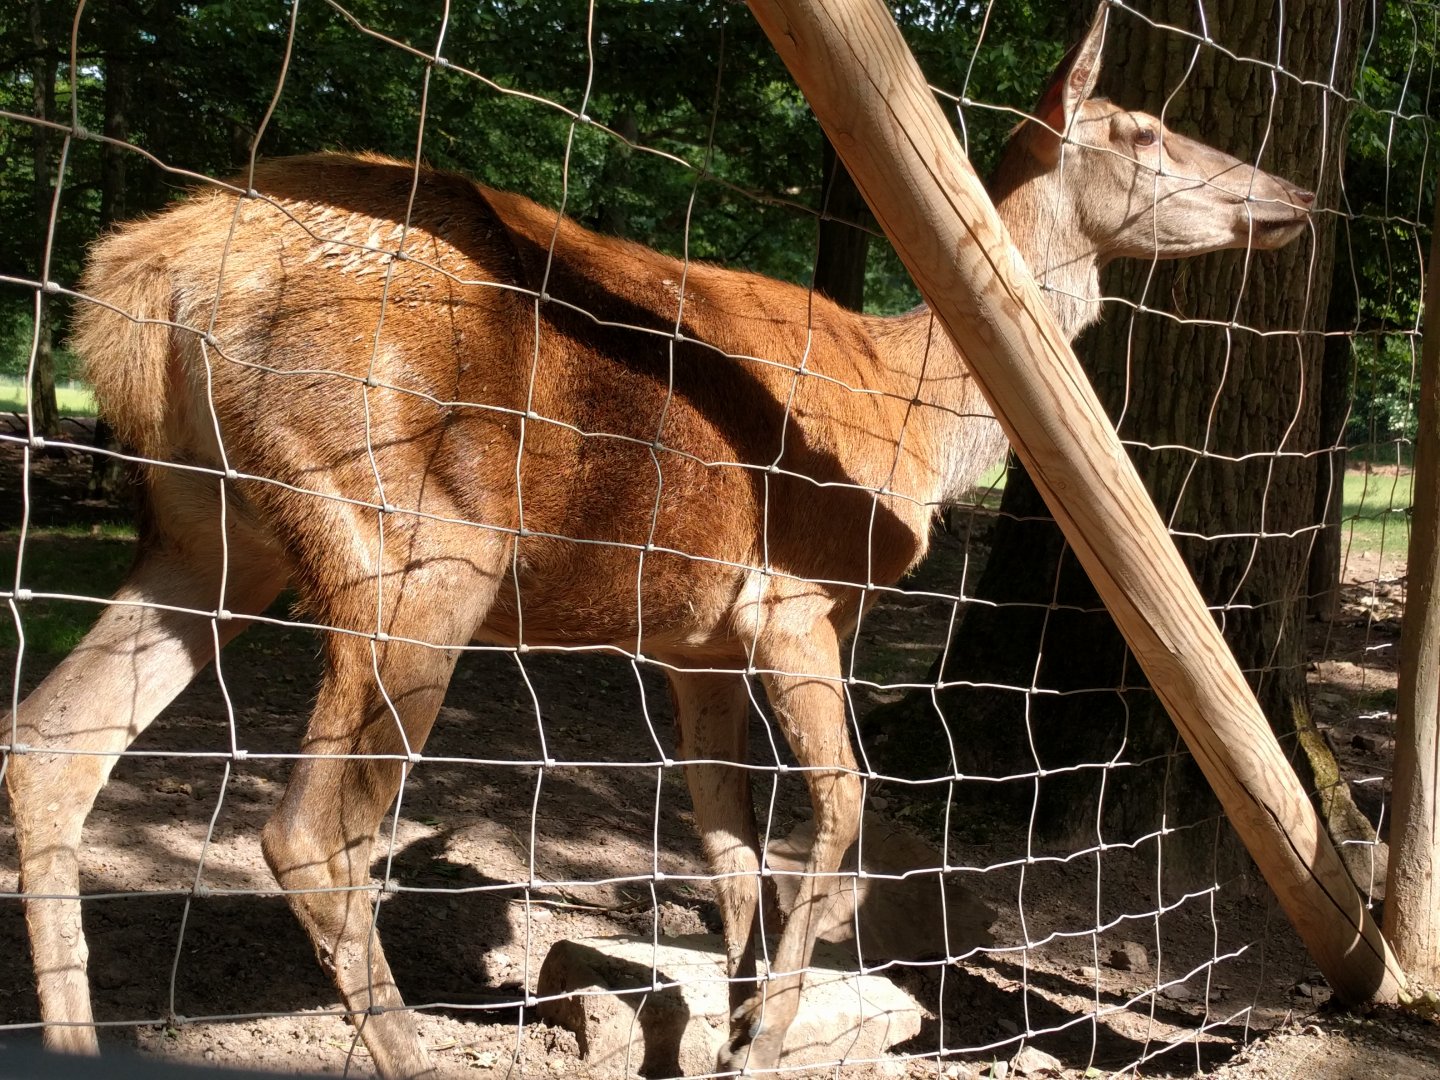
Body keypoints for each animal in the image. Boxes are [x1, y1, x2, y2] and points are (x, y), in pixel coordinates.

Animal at [5, 10, 1312, 1077]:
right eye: (1143, 129)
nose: (1297, 194)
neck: (913, 415)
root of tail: (145, 278)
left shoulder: (693, 640)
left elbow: (728, 842)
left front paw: (729, 1032)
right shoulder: (800, 598)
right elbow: (837, 821)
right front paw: (769, 1038)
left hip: (209, 528)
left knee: (50, 745)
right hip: (415, 542)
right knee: (307, 830)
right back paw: (404, 1047)